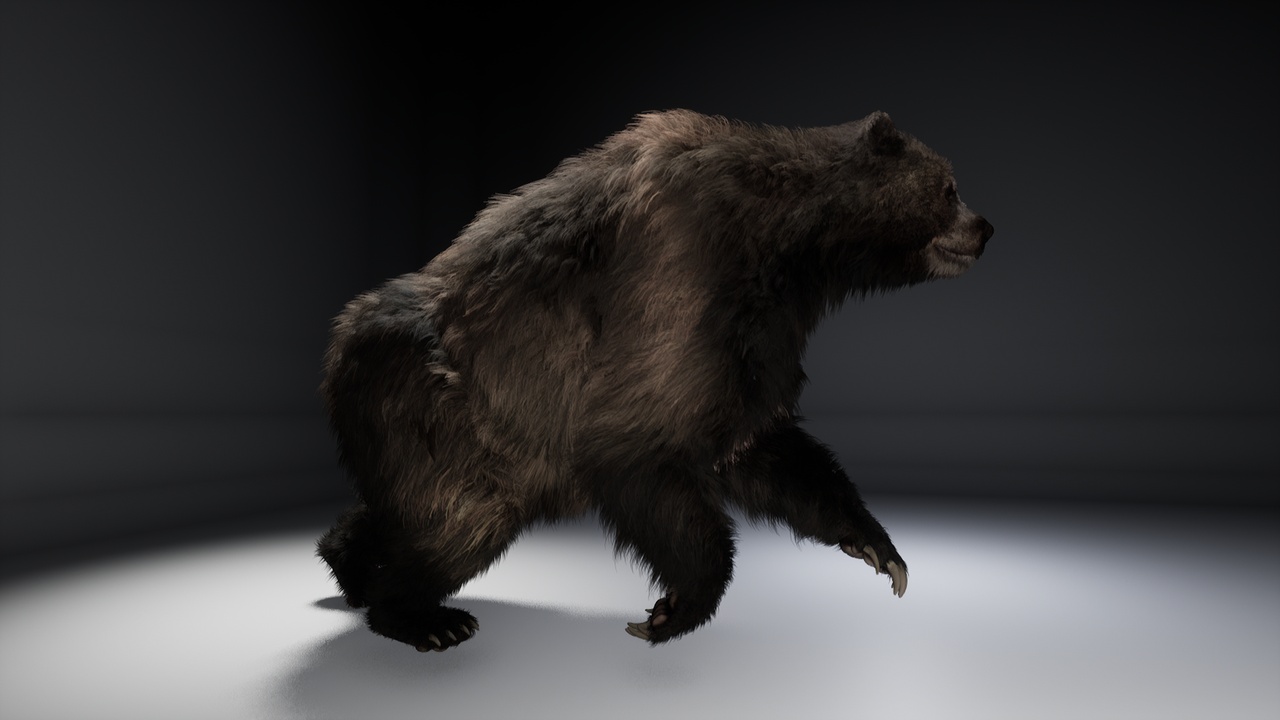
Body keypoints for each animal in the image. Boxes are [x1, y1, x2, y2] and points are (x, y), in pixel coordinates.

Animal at [317, 109, 993, 652]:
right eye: (949, 187)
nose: (985, 227)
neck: (785, 239)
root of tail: (338, 347)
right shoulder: (679, 277)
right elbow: (638, 442)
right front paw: (671, 611)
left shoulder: (760, 334)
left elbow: (761, 447)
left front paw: (879, 549)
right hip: (446, 415)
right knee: (460, 521)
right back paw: (426, 618)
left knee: (406, 512)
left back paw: (348, 565)